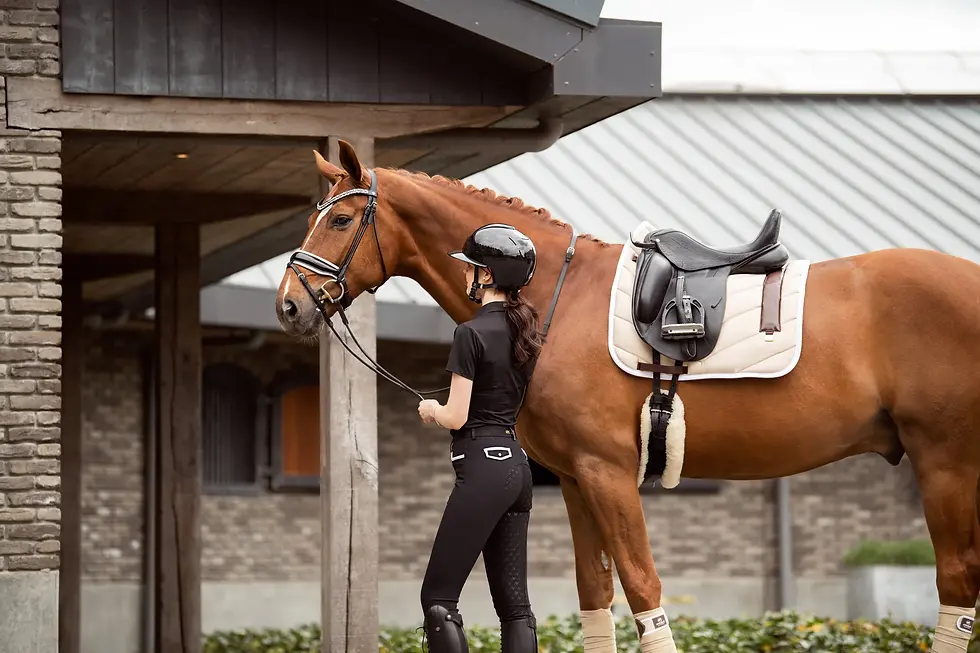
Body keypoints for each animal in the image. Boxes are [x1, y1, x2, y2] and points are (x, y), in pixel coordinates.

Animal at [275, 140, 980, 652]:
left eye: (341, 218)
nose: (288, 305)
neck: (558, 298)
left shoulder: (608, 473)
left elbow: (644, 591)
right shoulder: (577, 479)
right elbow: (595, 597)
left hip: (945, 463)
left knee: (956, 585)